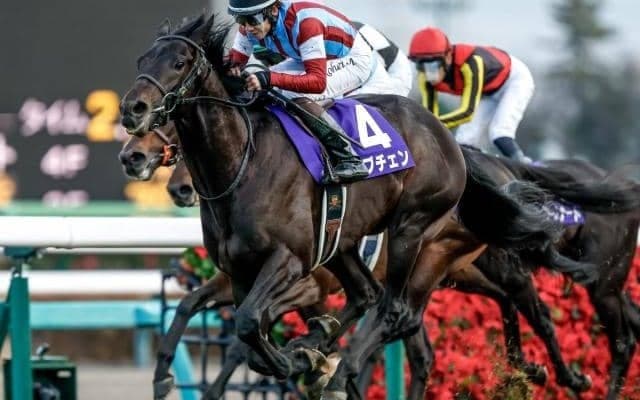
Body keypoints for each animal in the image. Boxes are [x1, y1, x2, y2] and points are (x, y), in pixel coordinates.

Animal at [120, 15, 570, 400]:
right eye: (141, 61)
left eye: (179, 63)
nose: (131, 113)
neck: (243, 165)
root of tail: (448, 141)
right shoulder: (240, 272)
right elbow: (225, 323)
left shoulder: (293, 266)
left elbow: (248, 326)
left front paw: (300, 360)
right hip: (358, 246)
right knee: (375, 300)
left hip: (417, 234)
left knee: (400, 308)